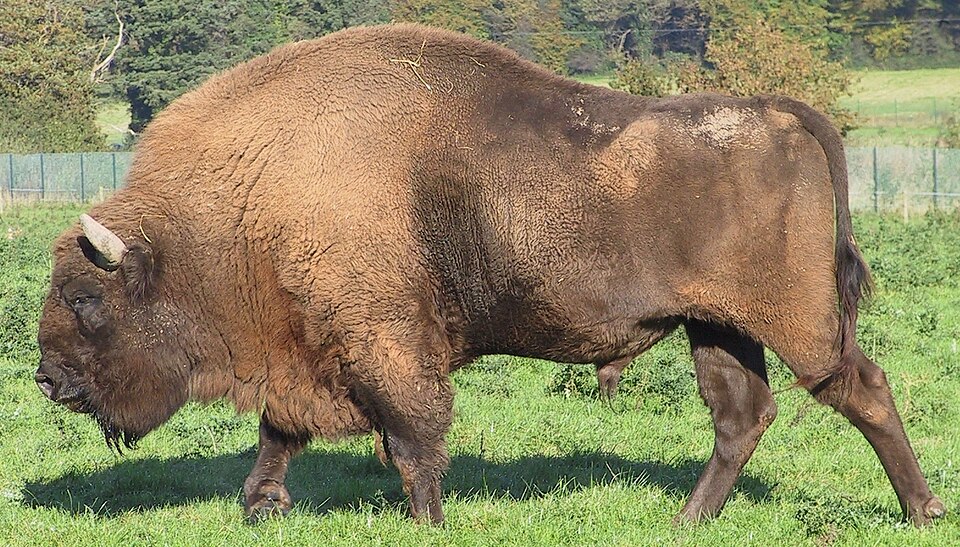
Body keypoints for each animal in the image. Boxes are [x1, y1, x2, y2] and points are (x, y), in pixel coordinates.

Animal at [36, 24, 944, 526]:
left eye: (85, 298)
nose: (47, 380)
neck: (247, 194)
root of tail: (780, 111)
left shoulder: (385, 346)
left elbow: (412, 437)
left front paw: (428, 519)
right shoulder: (313, 345)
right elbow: (281, 430)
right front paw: (262, 505)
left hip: (797, 321)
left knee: (859, 386)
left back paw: (922, 508)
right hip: (716, 327)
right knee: (742, 416)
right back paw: (686, 518)